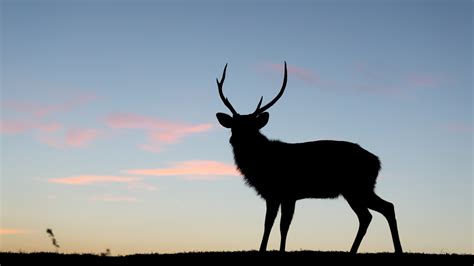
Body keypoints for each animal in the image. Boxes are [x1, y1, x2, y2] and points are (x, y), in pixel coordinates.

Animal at [215, 61, 404, 254]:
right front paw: (265, 250)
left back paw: (392, 249)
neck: (261, 164)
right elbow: (270, 224)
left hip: (357, 187)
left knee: (380, 210)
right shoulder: (276, 195)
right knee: (374, 212)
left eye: (251, 127)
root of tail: (377, 162)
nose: (233, 140)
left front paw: (279, 251)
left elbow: (282, 225)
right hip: (357, 189)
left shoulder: (286, 192)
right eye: (233, 126)